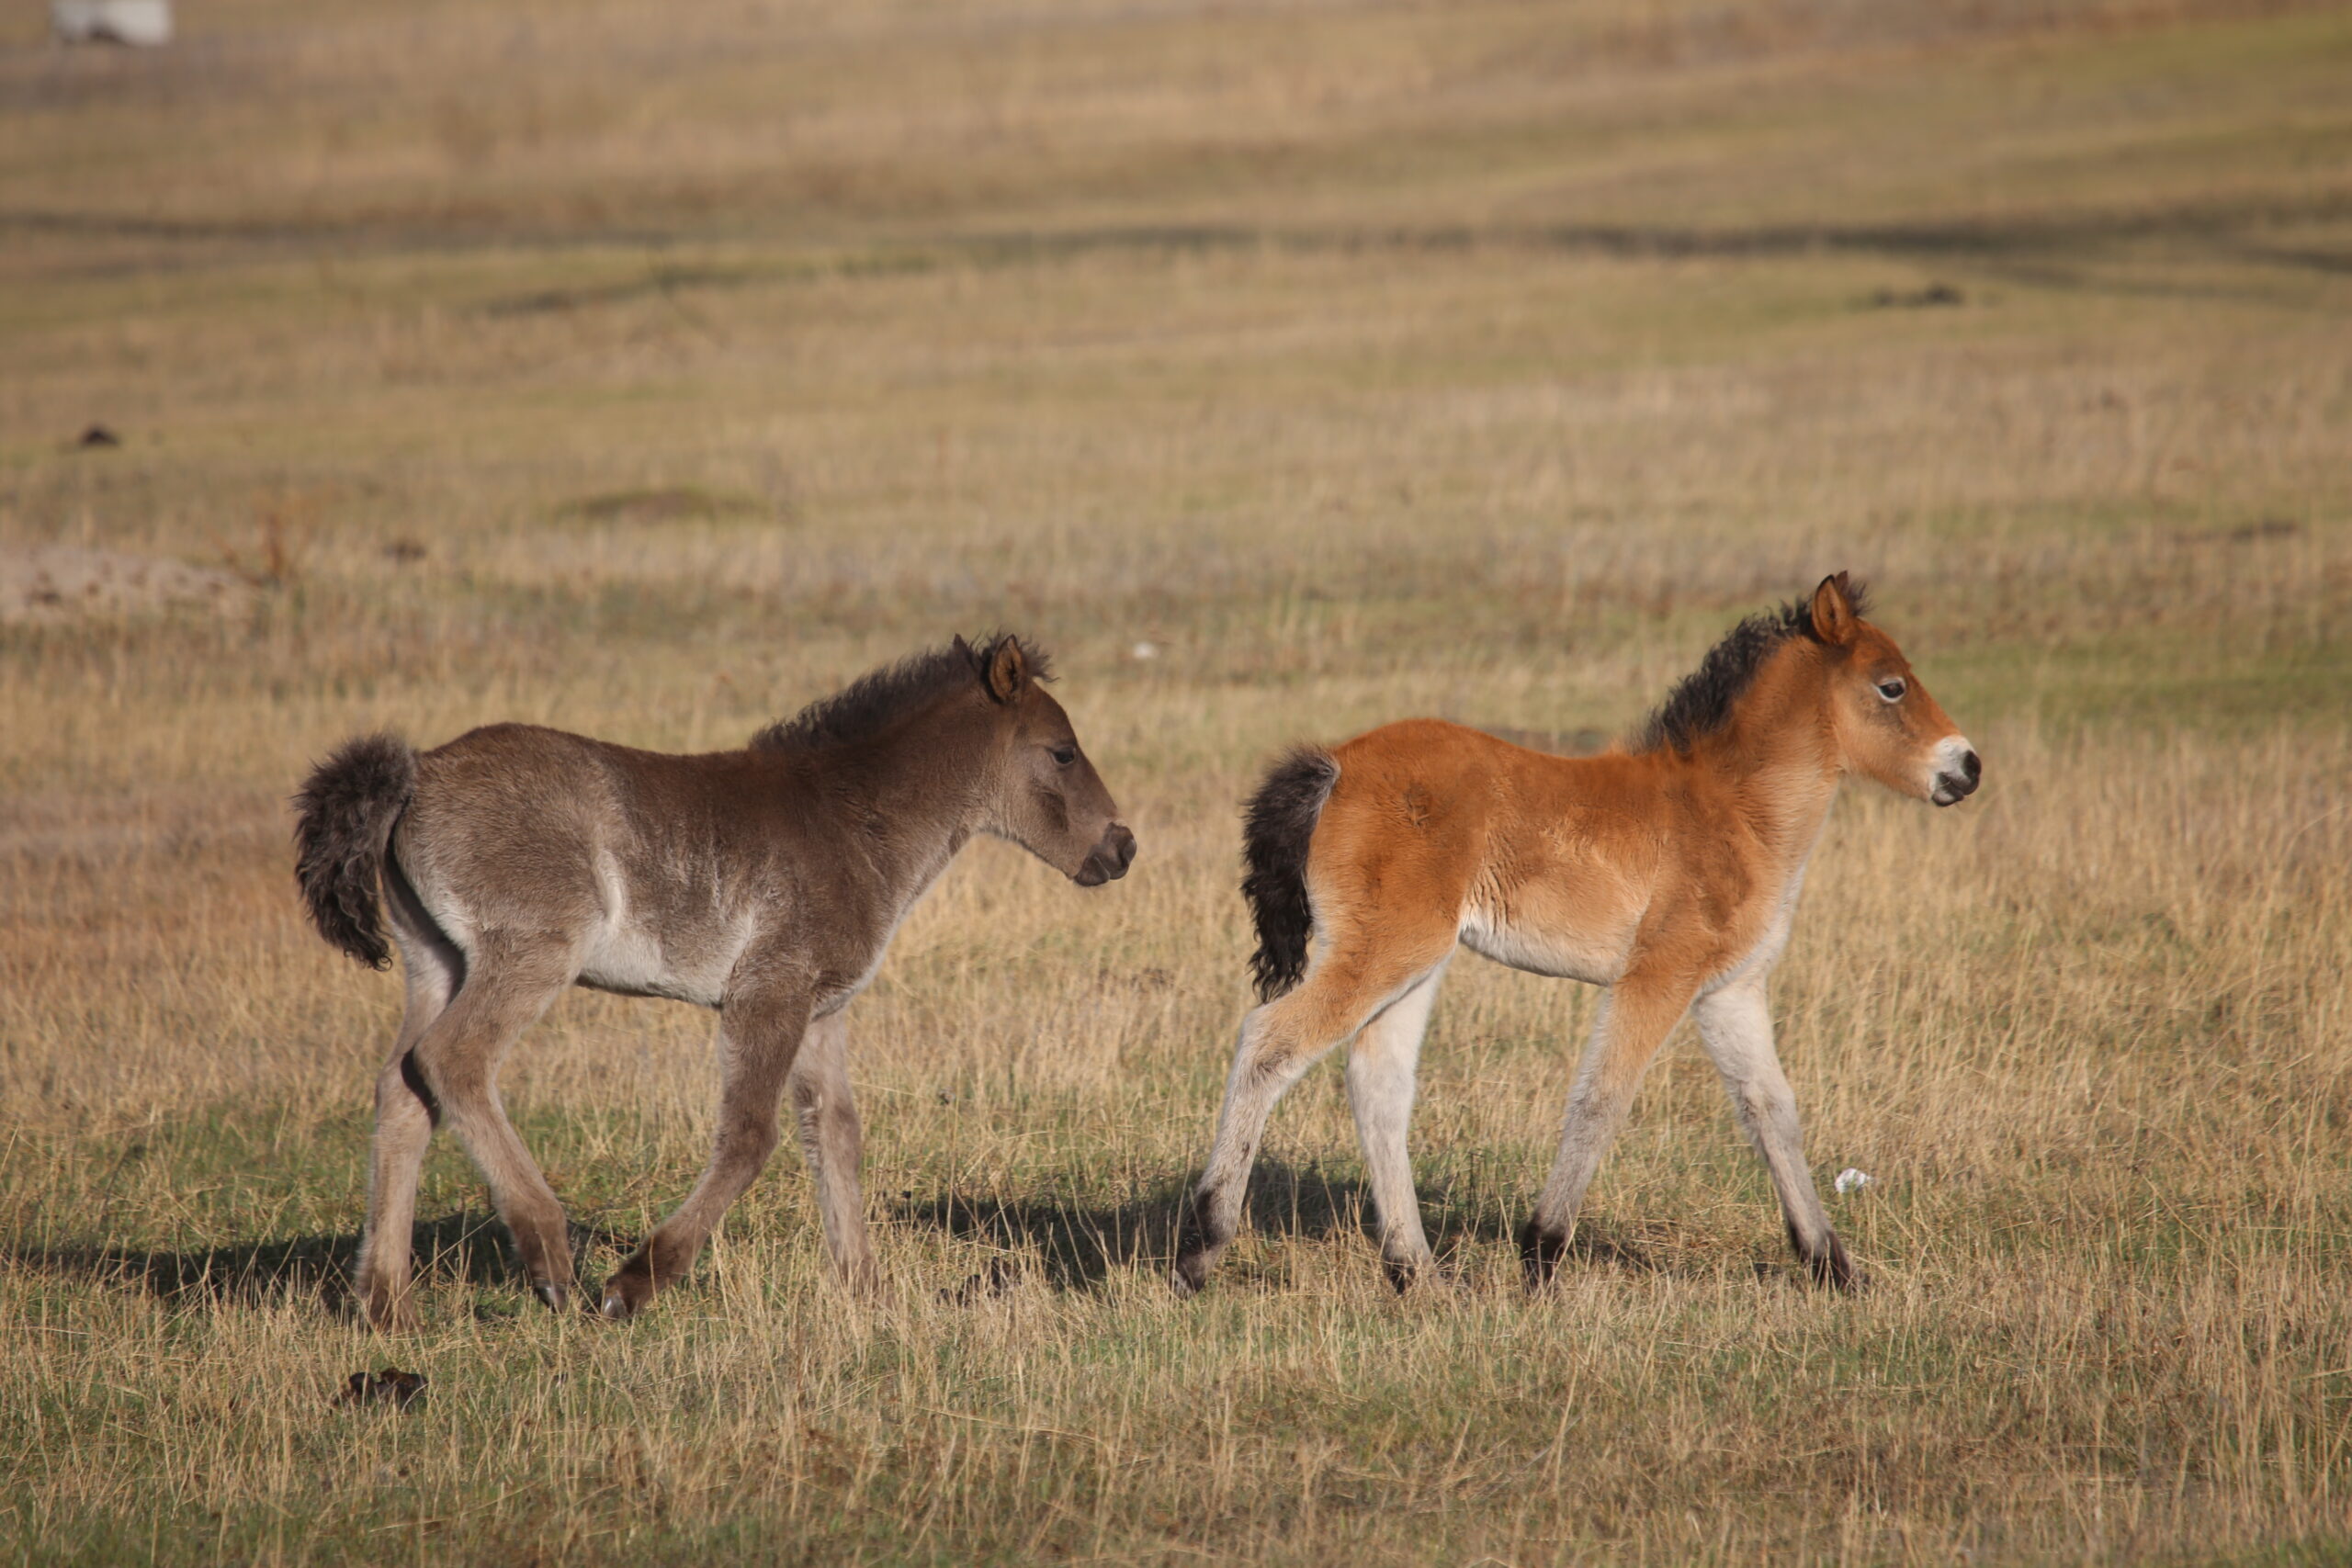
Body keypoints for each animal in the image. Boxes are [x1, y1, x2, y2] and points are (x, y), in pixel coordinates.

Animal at [294, 629, 1128, 1335]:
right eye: (1062, 753)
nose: (1122, 848)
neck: (851, 822)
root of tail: (417, 774)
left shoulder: (823, 1009)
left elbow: (836, 1134)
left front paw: (867, 1290)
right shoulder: (769, 993)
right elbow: (751, 1135)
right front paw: (634, 1282)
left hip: (436, 959)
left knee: (404, 1089)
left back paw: (385, 1304)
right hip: (530, 953)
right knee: (453, 1061)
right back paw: (549, 1256)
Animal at [1170, 576, 1966, 1297]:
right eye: (1892, 686)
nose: (1967, 766)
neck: (1733, 810)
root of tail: (1334, 765)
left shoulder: (1729, 990)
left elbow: (1773, 1110)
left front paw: (1835, 1266)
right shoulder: (1658, 976)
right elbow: (1601, 1098)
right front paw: (1541, 1253)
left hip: (1416, 962)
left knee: (1379, 1087)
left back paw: (1419, 1274)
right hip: (1385, 952)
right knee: (1270, 1041)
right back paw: (1202, 1247)